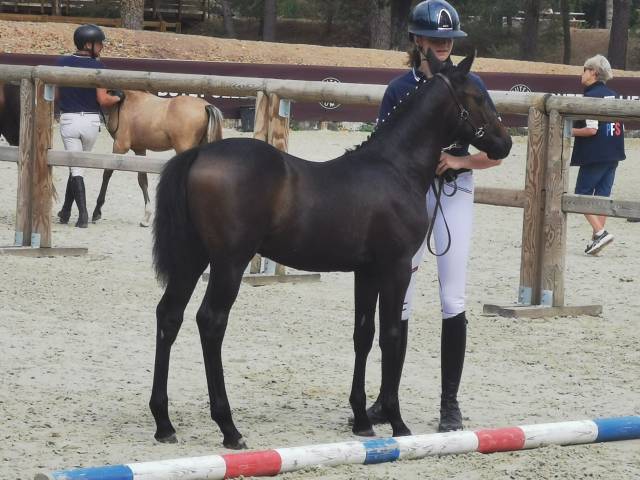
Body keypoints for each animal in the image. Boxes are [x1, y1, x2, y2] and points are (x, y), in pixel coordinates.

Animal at [94, 90, 223, 227]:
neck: (124, 101)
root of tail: (205, 106)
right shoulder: (140, 150)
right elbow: (142, 180)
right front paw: (146, 216)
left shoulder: (119, 146)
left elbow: (107, 172)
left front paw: (97, 211)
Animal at [150, 51, 512, 449]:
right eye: (477, 96)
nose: (506, 143)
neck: (394, 168)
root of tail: (200, 154)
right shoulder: (396, 267)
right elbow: (391, 335)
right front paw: (397, 423)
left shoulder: (366, 271)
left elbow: (363, 335)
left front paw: (362, 420)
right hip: (229, 263)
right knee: (211, 322)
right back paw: (229, 428)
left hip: (192, 259)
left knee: (169, 316)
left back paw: (164, 422)